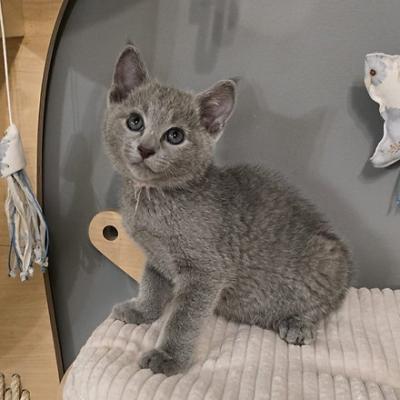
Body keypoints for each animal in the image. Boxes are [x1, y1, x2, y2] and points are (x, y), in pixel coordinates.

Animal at [103, 45, 350, 376]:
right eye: (135, 122)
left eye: (175, 136)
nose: (145, 148)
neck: (154, 199)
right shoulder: (155, 256)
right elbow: (152, 284)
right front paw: (143, 310)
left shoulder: (206, 271)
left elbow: (183, 317)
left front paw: (169, 357)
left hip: (328, 258)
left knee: (326, 303)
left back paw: (298, 324)